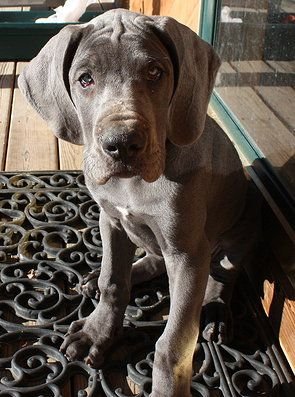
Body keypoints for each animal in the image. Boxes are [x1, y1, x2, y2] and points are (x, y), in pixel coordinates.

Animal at [19, 9, 260, 396]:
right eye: (85, 79)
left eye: (154, 72)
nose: (121, 144)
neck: (132, 185)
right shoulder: (112, 220)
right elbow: (113, 283)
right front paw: (95, 332)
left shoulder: (187, 252)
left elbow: (174, 340)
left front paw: (167, 385)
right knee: (151, 260)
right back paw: (97, 279)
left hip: (247, 217)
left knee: (224, 274)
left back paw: (216, 313)